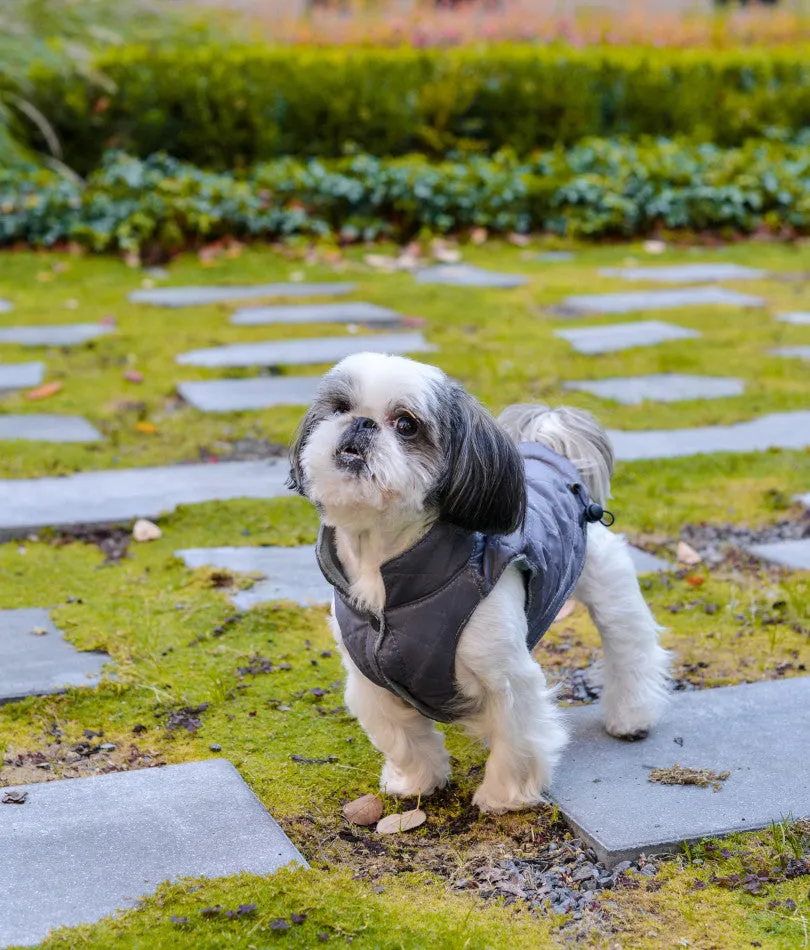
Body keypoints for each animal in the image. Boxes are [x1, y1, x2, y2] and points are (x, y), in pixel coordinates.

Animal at [288, 354, 664, 816]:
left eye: (407, 424)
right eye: (340, 407)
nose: (361, 423)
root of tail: (549, 452)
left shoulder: (505, 678)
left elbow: (517, 741)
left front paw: (503, 797)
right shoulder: (371, 680)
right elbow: (403, 737)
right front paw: (415, 782)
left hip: (608, 585)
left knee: (630, 646)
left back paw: (631, 716)